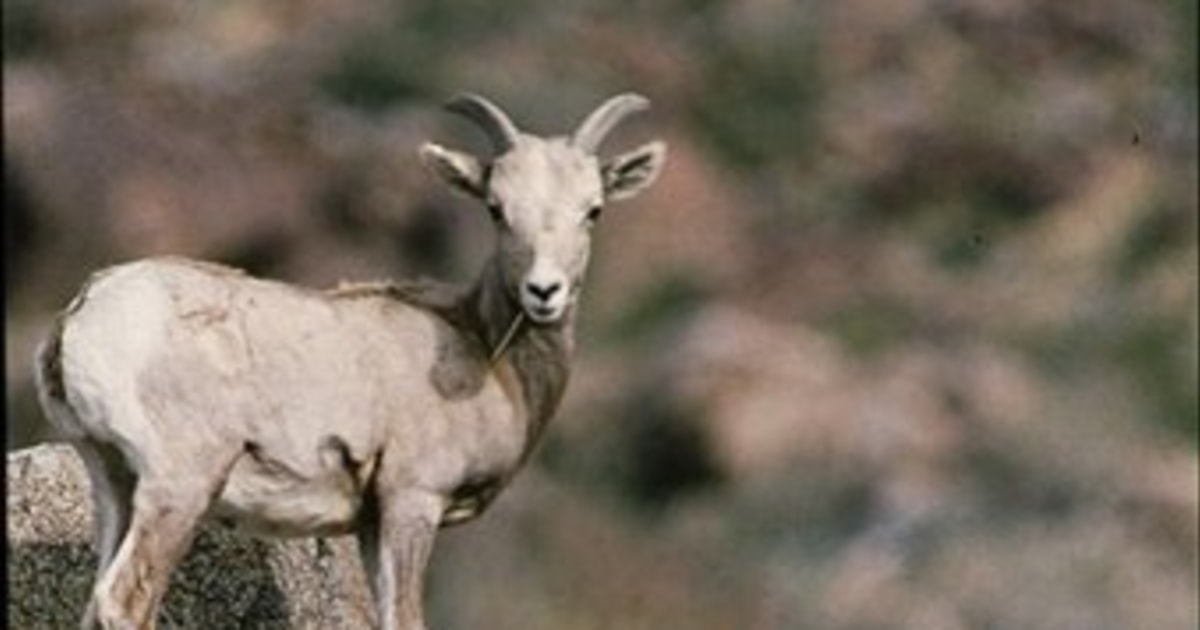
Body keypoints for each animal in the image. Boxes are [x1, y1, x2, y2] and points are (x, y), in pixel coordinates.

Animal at [34, 92, 667, 630]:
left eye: (594, 210)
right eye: (496, 208)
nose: (544, 292)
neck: (487, 352)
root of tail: (82, 315)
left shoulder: (369, 523)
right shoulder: (413, 503)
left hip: (113, 482)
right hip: (178, 487)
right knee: (124, 602)